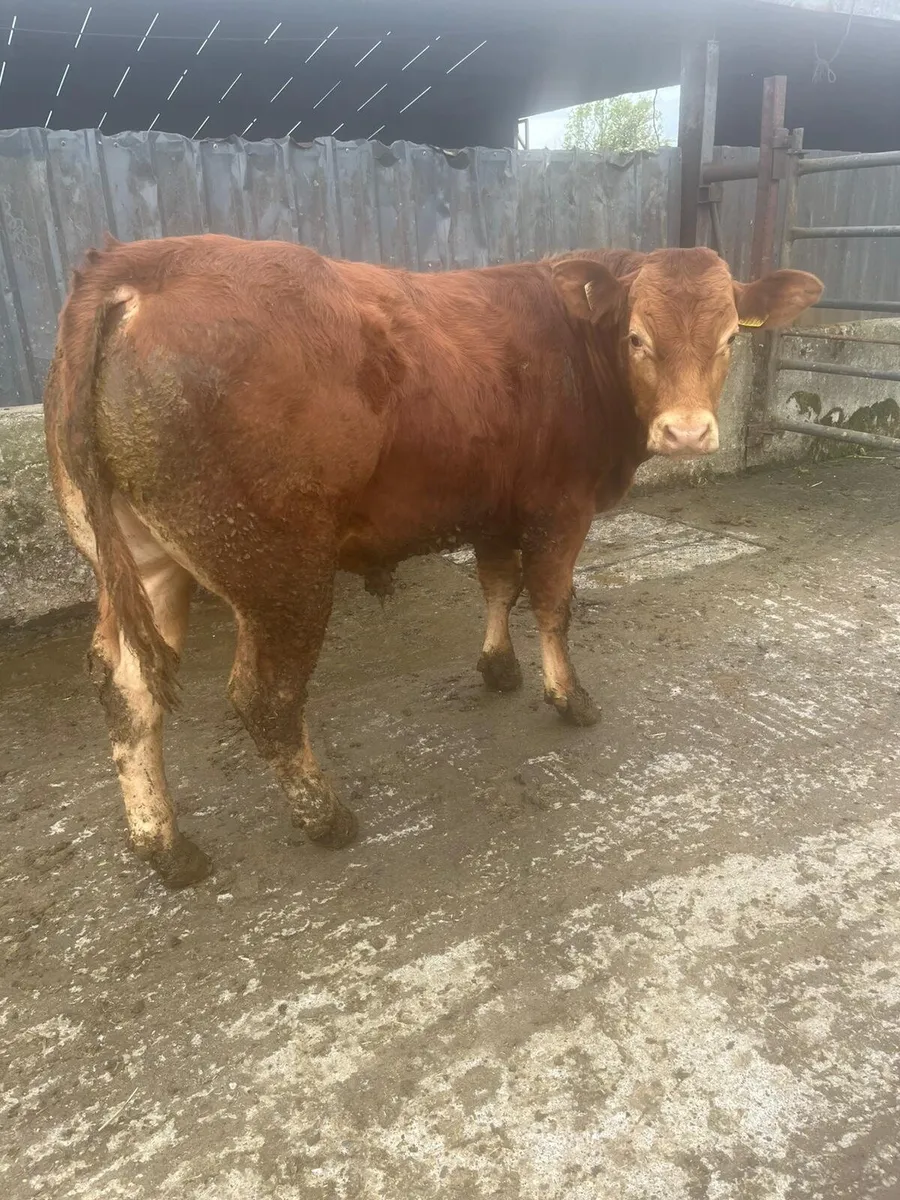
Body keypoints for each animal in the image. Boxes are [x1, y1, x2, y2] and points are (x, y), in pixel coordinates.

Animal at [44, 234, 822, 887]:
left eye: (730, 337)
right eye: (637, 336)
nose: (687, 433)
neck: (575, 346)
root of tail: (138, 262)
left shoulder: (493, 507)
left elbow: (498, 583)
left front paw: (499, 668)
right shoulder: (560, 509)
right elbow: (552, 602)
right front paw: (568, 696)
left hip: (143, 562)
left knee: (127, 689)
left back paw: (164, 846)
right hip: (278, 573)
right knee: (266, 699)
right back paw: (325, 817)